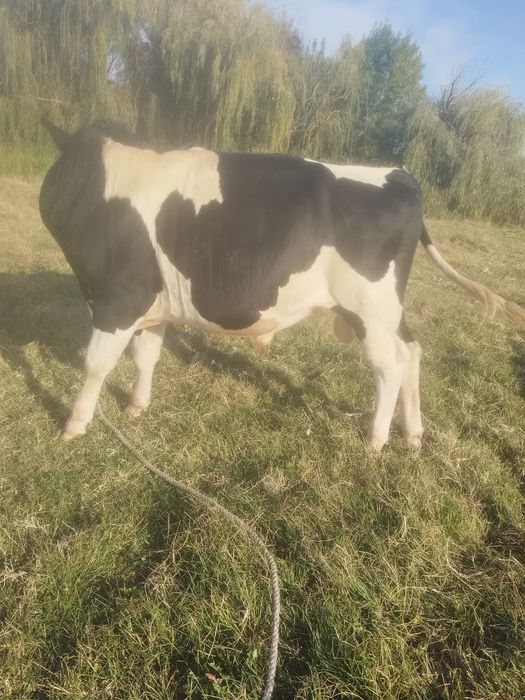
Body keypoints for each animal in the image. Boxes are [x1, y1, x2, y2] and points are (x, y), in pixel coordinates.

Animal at [39, 119, 525, 451]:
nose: (49, 201)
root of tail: (398, 174)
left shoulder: (119, 297)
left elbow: (95, 364)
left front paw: (75, 424)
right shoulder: (152, 301)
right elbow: (146, 356)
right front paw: (137, 406)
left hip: (369, 308)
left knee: (389, 365)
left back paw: (376, 438)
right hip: (387, 311)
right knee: (412, 352)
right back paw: (413, 432)